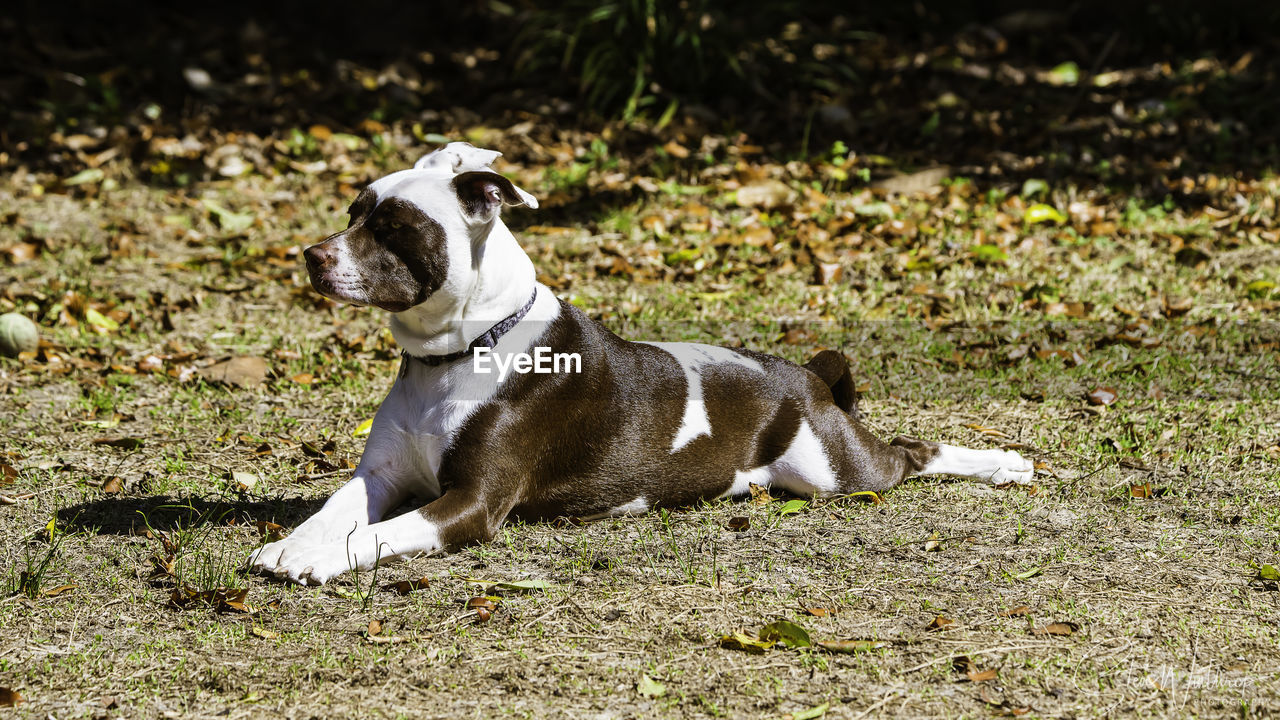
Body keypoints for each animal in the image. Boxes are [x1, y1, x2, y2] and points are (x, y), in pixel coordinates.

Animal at [247, 144, 1029, 584]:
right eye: (353, 211)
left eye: (393, 227)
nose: (311, 255)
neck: (451, 355)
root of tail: (807, 379)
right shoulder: (379, 475)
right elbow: (336, 511)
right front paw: (293, 545)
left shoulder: (470, 504)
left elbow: (382, 533)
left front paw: (317, 560)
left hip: (836, 471)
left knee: (911, 453)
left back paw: (1003, 463)